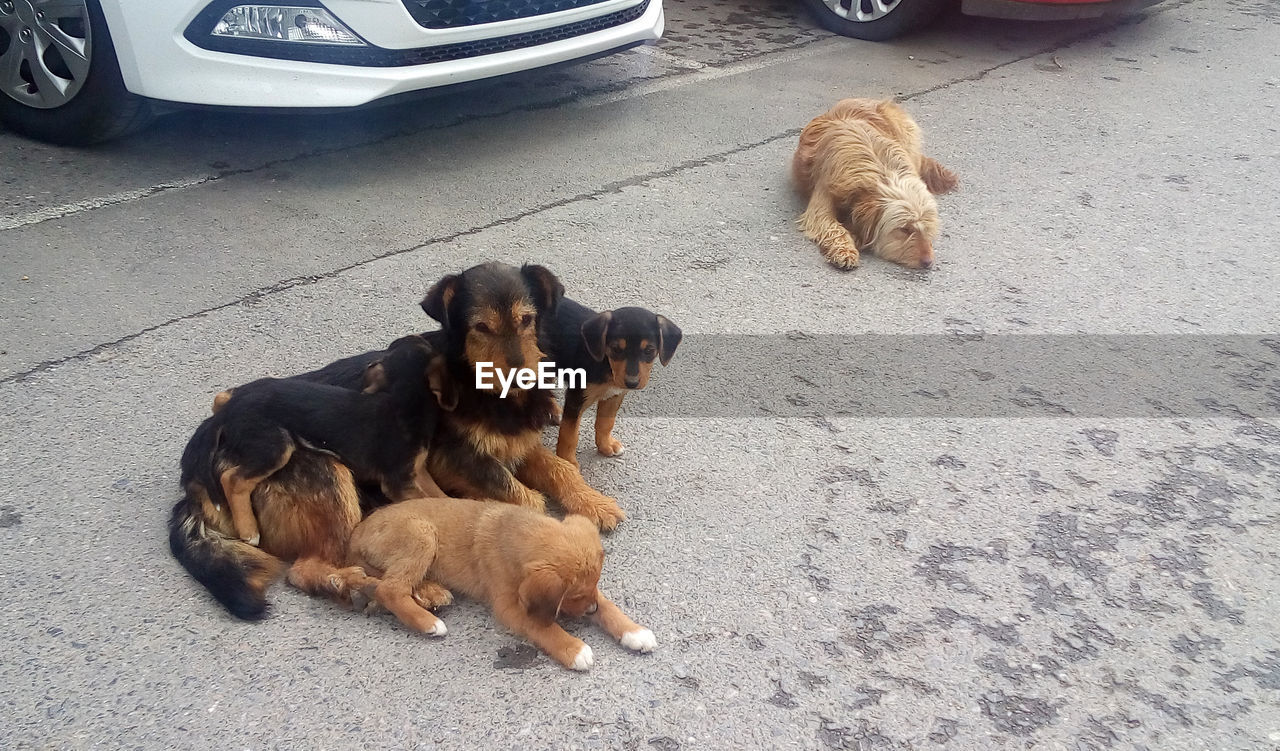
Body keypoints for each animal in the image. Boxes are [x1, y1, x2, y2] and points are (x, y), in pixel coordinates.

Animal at [197, 335, 458, 547]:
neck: (402, 400)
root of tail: (228, 411)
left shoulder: (417, 472)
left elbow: (440, 496)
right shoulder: (398, 483)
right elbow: (429, 501)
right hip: (274, 445)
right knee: (232, 479)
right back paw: (249, 530)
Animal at [345, 498, 655, 670]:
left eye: (592, 587)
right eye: (573, 595)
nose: (590, 612)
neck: (511, 534)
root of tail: (358, 530)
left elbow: (609, 605)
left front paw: (634, 632)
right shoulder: (508, 607)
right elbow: (542, 625)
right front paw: (573, 649)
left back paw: (428, 591)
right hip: (421, 533)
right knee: (390, 588)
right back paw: (428, 622)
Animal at [547, 298, 680, 463]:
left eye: (649, 350)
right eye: (616, 349)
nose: (632, 383)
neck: (606, 365)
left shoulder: (615, 395)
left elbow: (606, 423)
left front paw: (605, 445)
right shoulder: (576, 398)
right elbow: (569, 435)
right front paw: (568, 462)